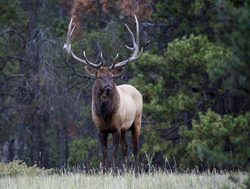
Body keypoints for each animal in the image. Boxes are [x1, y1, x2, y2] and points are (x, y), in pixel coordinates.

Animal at [63, 15, 144, 175]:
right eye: (99, 76)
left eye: (112, 76)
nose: (108, 87)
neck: (105, 114)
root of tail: (135, 89)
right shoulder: (101, 129)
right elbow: (105, 152)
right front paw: (105, 172)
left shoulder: (117, 127)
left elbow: (113, 151)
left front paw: (113, 171)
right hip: (125, 128)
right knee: (126, 148)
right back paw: (126, 170)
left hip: (137, 120)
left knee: (135, 147)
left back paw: (136, 172)